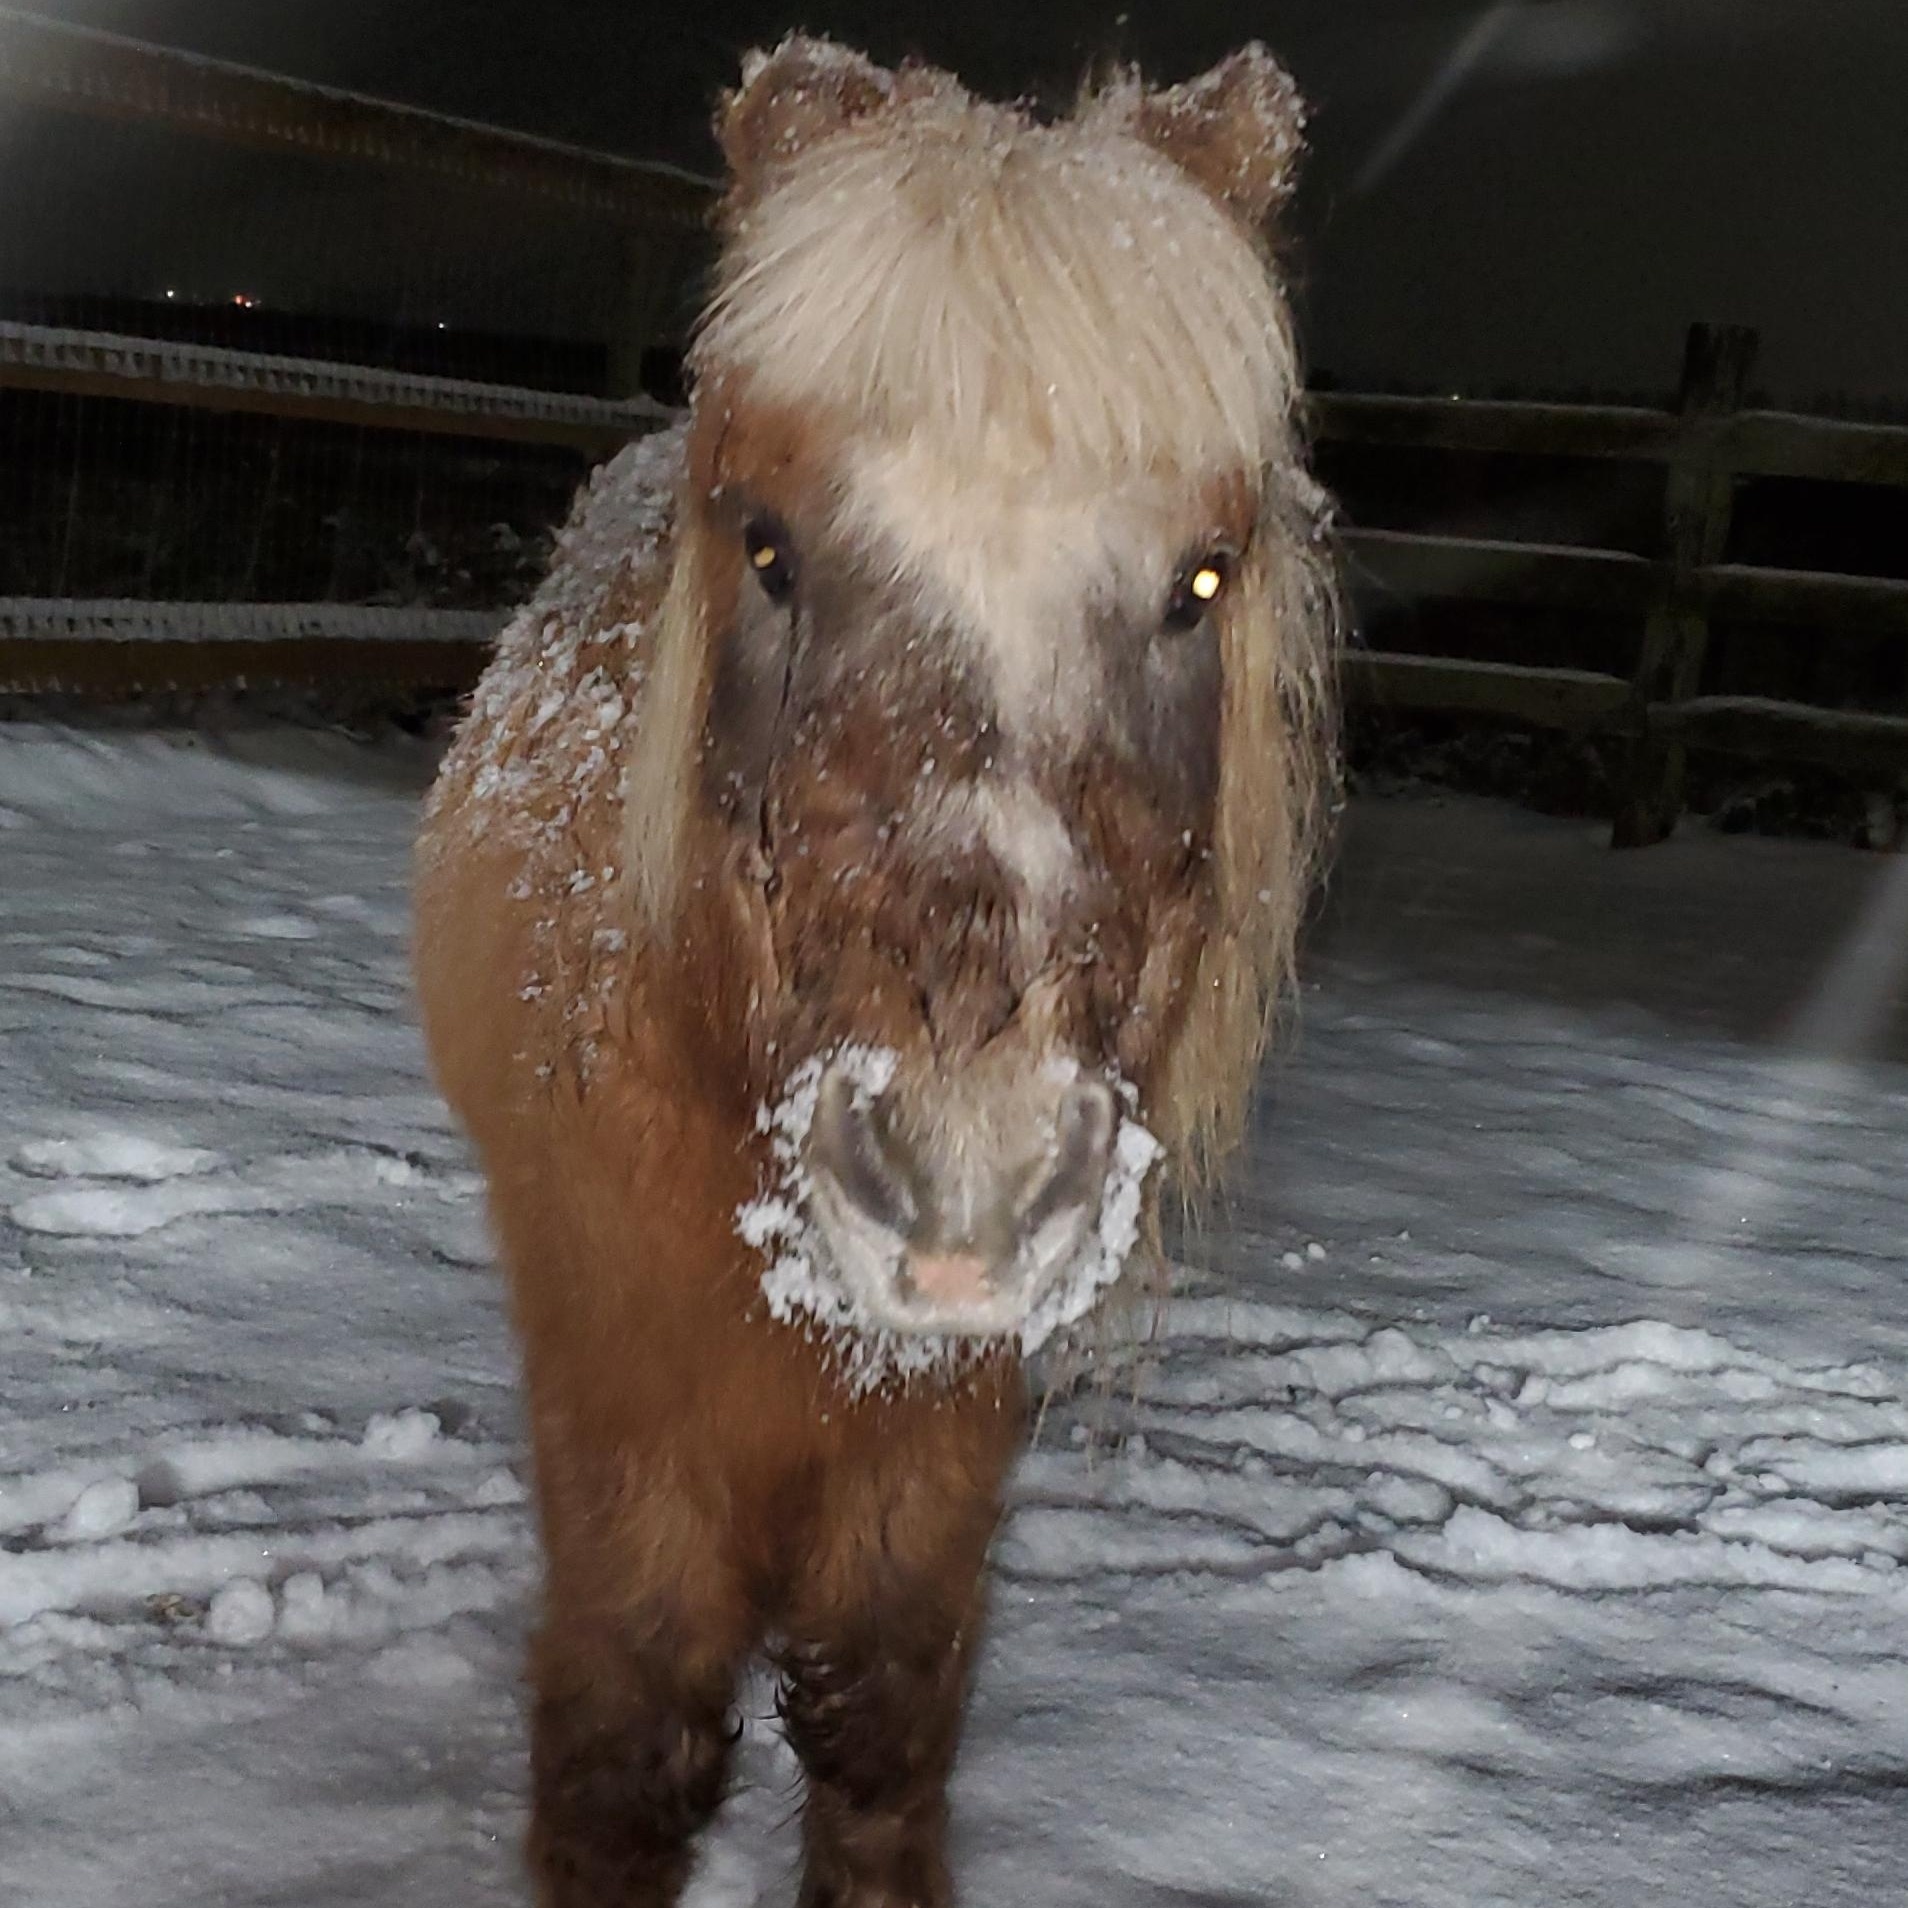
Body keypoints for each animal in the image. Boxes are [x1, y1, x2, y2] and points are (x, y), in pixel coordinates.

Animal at [414, 34, 1336, 1906]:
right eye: (766, 543)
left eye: (1202, 580)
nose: (961, 1179)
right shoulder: (620, 1378)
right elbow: (630, 1743)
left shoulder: (946, 1423)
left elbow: (878, 1721)